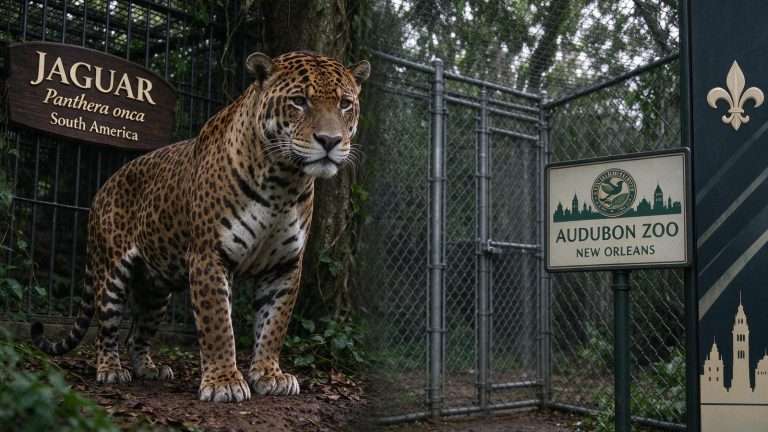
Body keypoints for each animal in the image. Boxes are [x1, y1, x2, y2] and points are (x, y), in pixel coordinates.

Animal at [31, 51, 371, 403]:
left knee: (137, 334)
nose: (330, 140)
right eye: (299, 101)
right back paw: (111, 370)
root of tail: (102, 188)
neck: (284, 182)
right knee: (107, 329)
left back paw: (149, 369)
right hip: (112, 273)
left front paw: (269, 375)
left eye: (345, 103)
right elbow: (218, 322)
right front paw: (224, 382)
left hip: (156, 291)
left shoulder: (285, 265)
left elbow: (274, 324)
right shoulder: (209, 256)